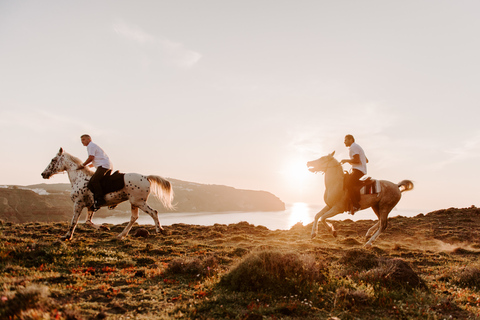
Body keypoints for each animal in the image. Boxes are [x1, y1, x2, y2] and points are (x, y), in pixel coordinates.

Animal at [40, 148, 173, 240]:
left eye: (53, 160)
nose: (43, 174)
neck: (79, 177)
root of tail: (146, 177)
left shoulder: (78, 203)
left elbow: (74, 221)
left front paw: (67, 236)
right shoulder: (90, 206)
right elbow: (88, 222)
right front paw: (103, 227)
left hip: (139, 202)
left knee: (153, 212)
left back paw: (159, 230)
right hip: (134, 203)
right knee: (134, 218)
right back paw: (121, 235)